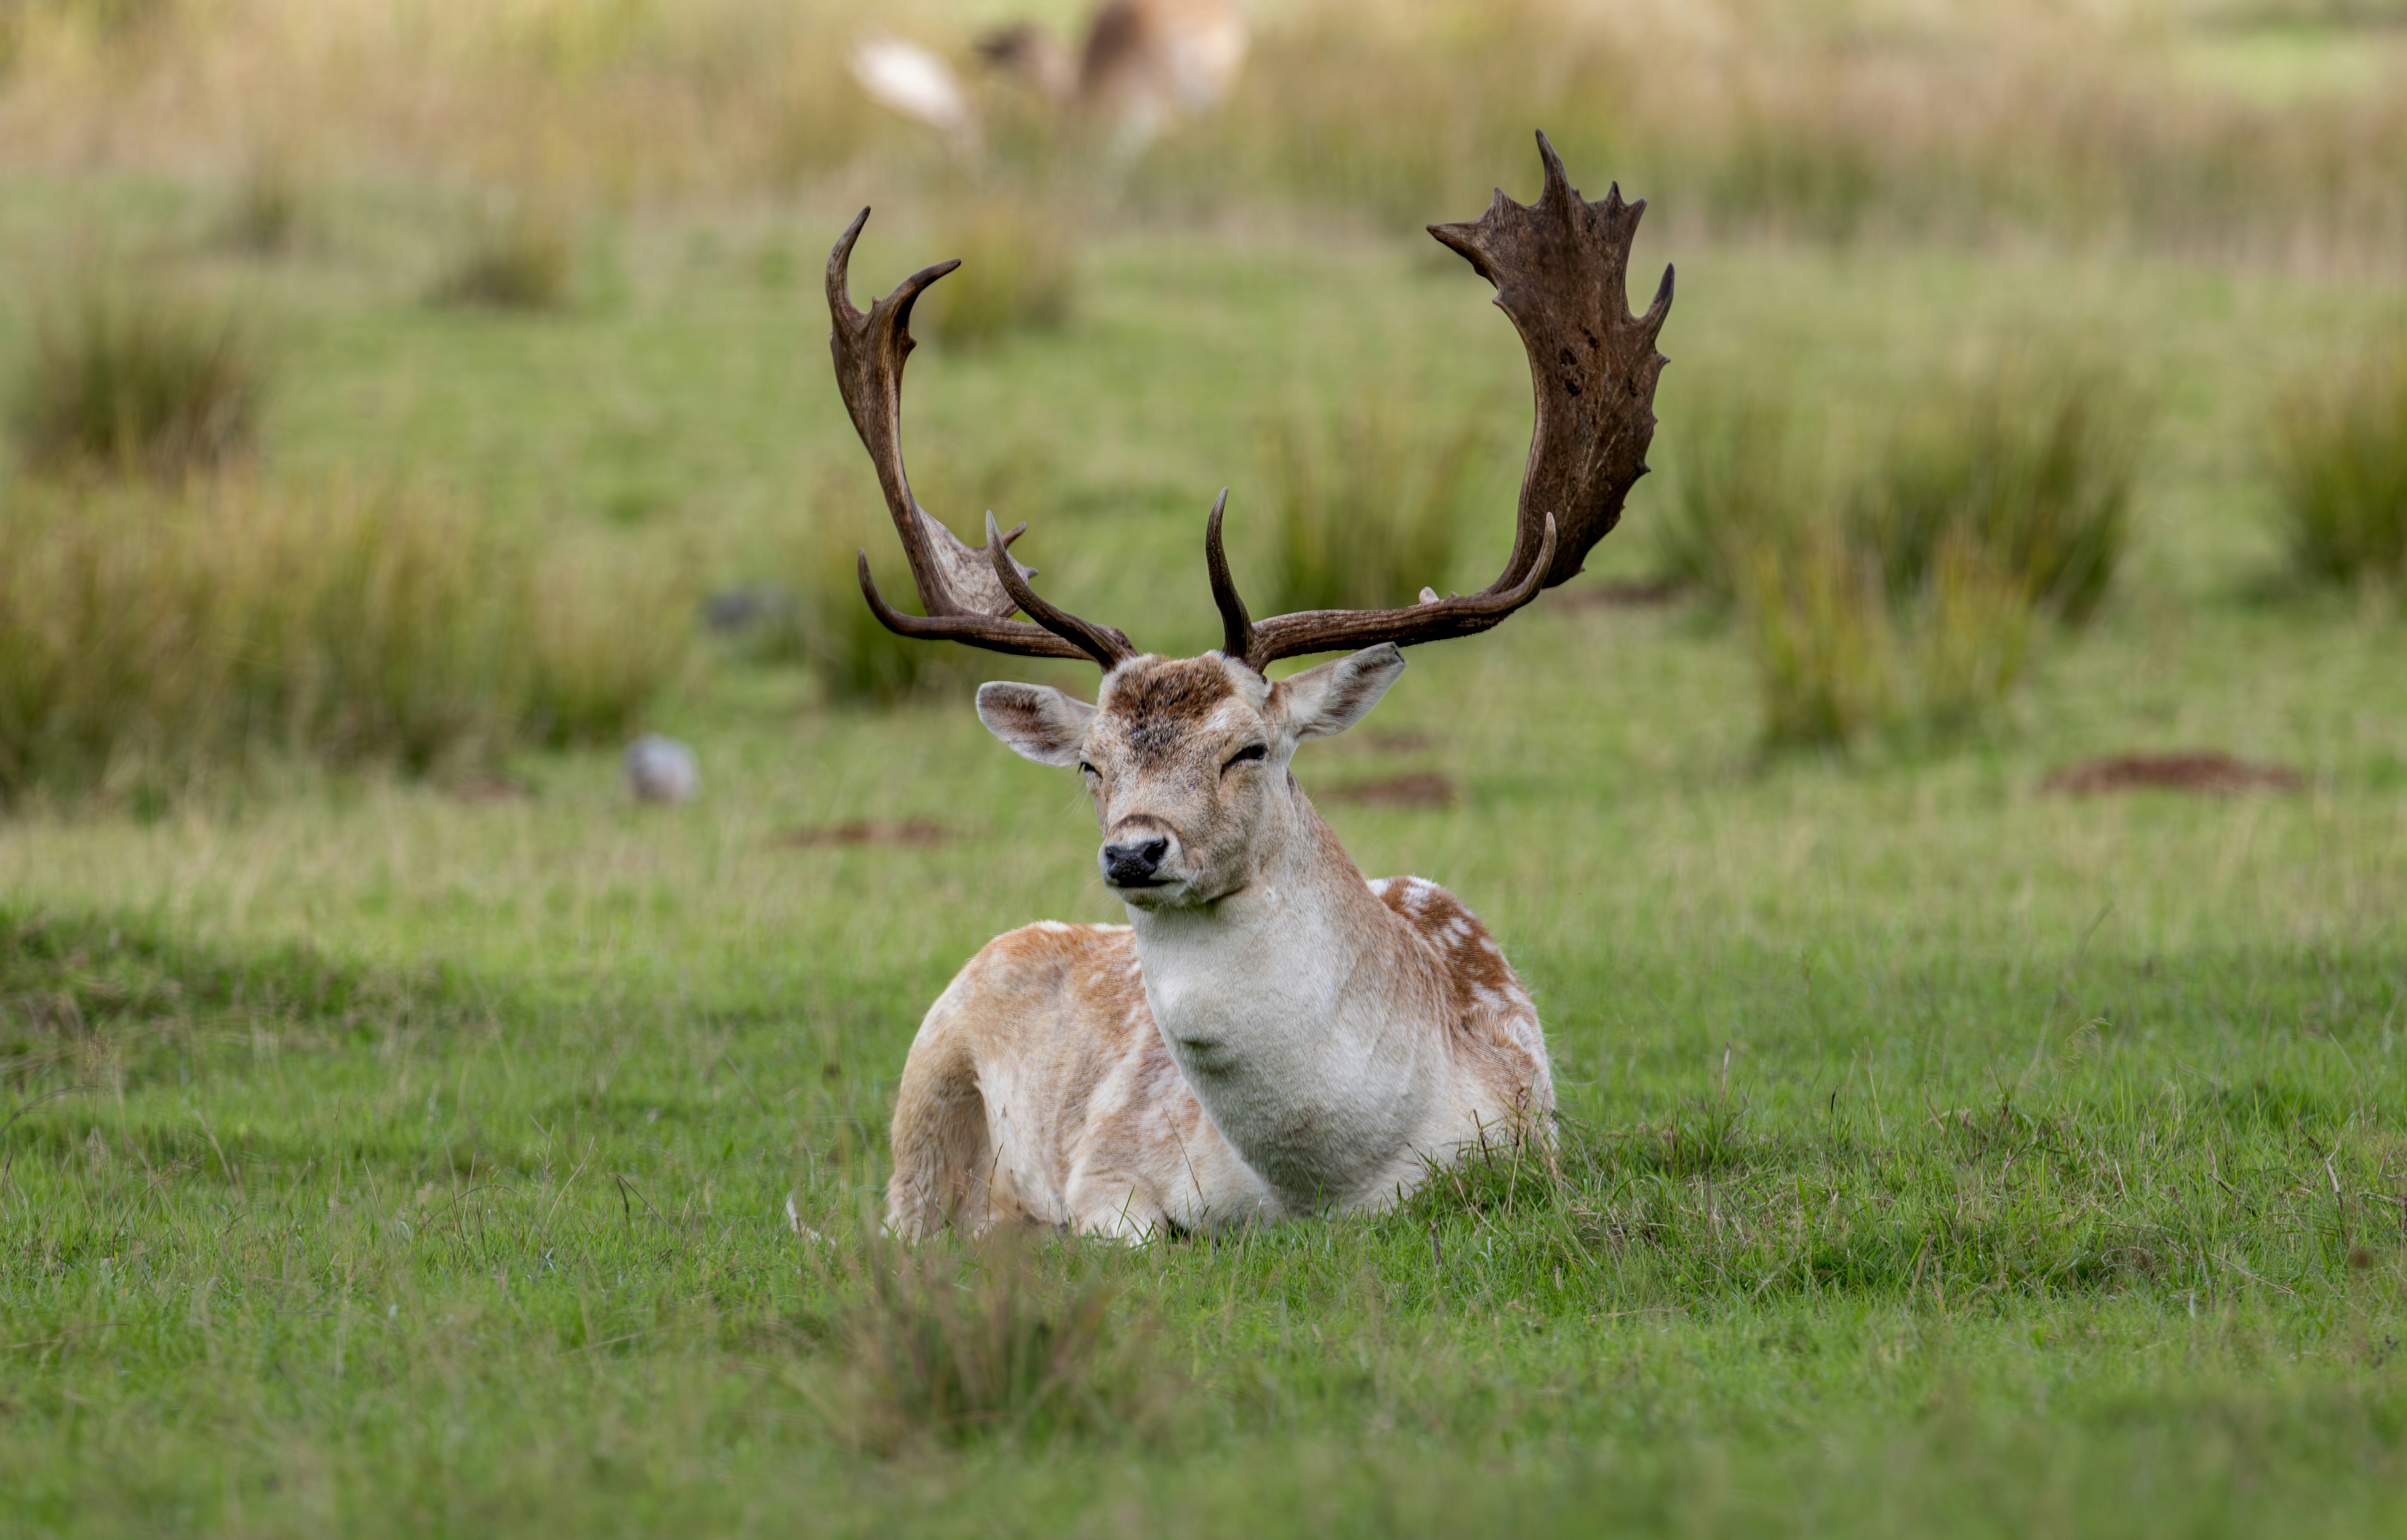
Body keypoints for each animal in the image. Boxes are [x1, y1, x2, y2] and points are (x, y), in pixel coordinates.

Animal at [823, 134, 1672, 1239]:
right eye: (1091, 764)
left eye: (1250, 747)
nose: (1134, 850)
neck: (1327, 1182)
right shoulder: (1109, 1171)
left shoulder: (1529, 1153)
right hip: (921, 1103)